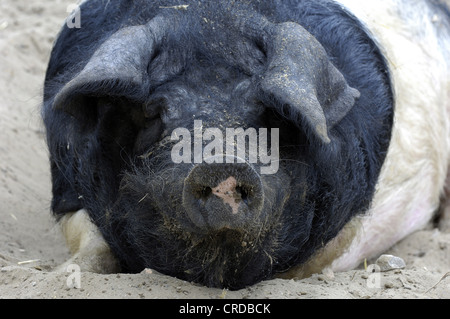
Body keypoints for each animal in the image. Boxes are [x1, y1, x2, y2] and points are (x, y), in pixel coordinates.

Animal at [40, 0, 448, 290]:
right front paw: (61, 276)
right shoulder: (67, 190)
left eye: (267, 111)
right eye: (153, 112)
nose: (222, 161)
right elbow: (89, 240)